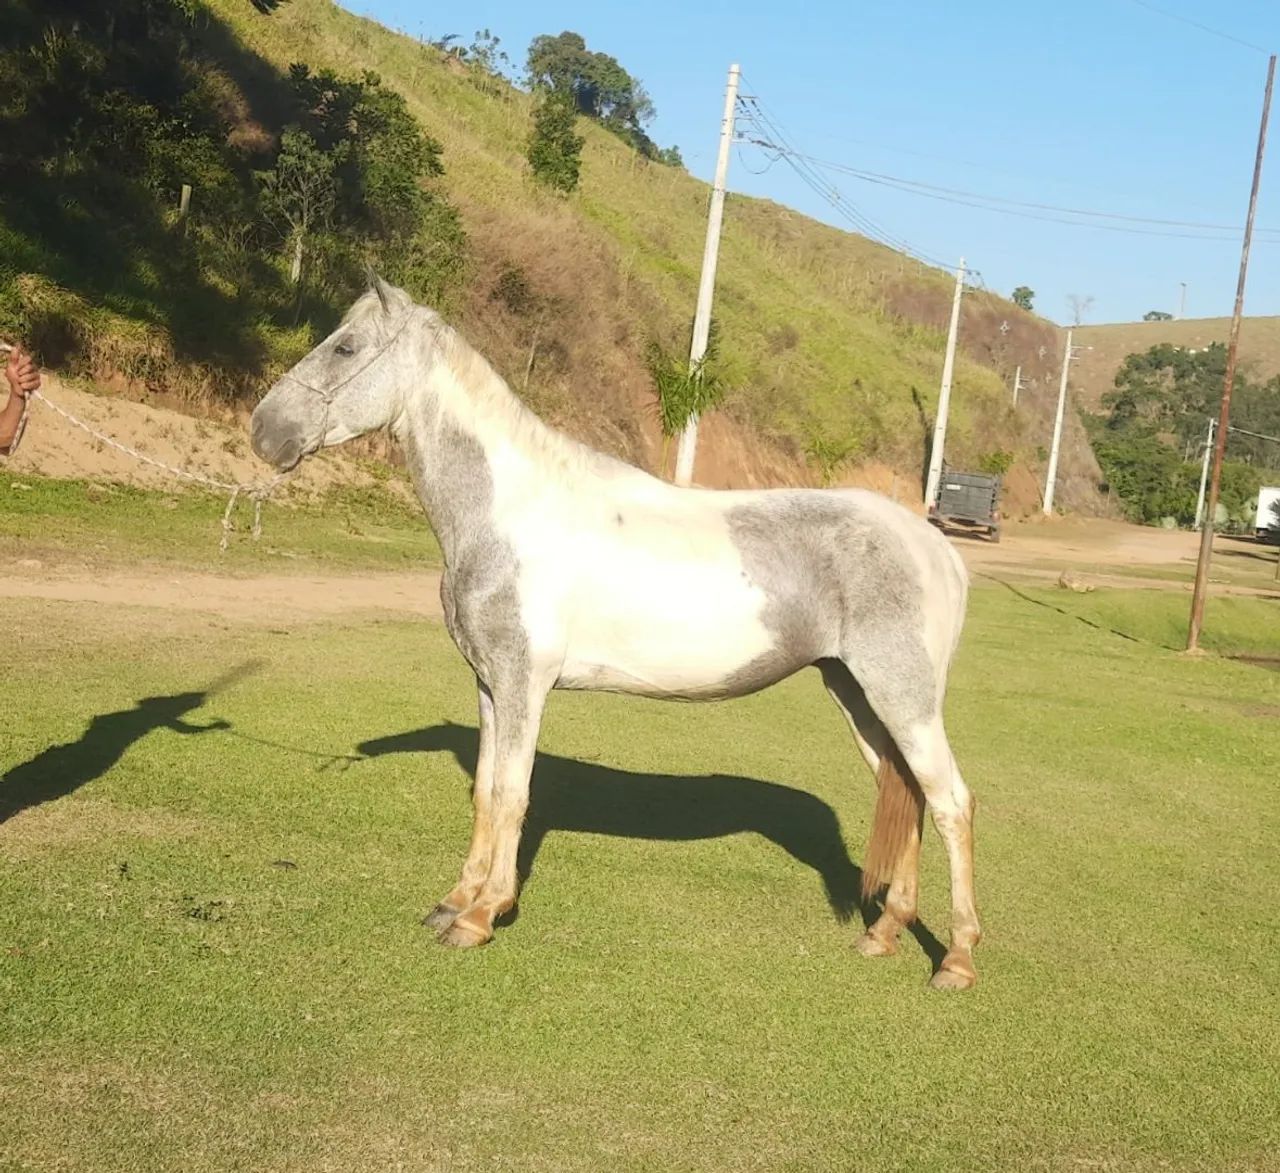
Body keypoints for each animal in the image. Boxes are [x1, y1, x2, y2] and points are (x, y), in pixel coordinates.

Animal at [249, 275, 977, 988]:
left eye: (345, 347)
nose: (264, 429)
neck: (510, 512)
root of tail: (936, 548)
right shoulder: (490, 684)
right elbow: (485, 791)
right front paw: (456, 900)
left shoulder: (524, 684)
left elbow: (512, 793)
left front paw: (481, 915)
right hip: (858, 695)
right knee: (908, 794)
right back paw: (884, 932)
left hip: (904, 699)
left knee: (951, 803)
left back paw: (957, 960)